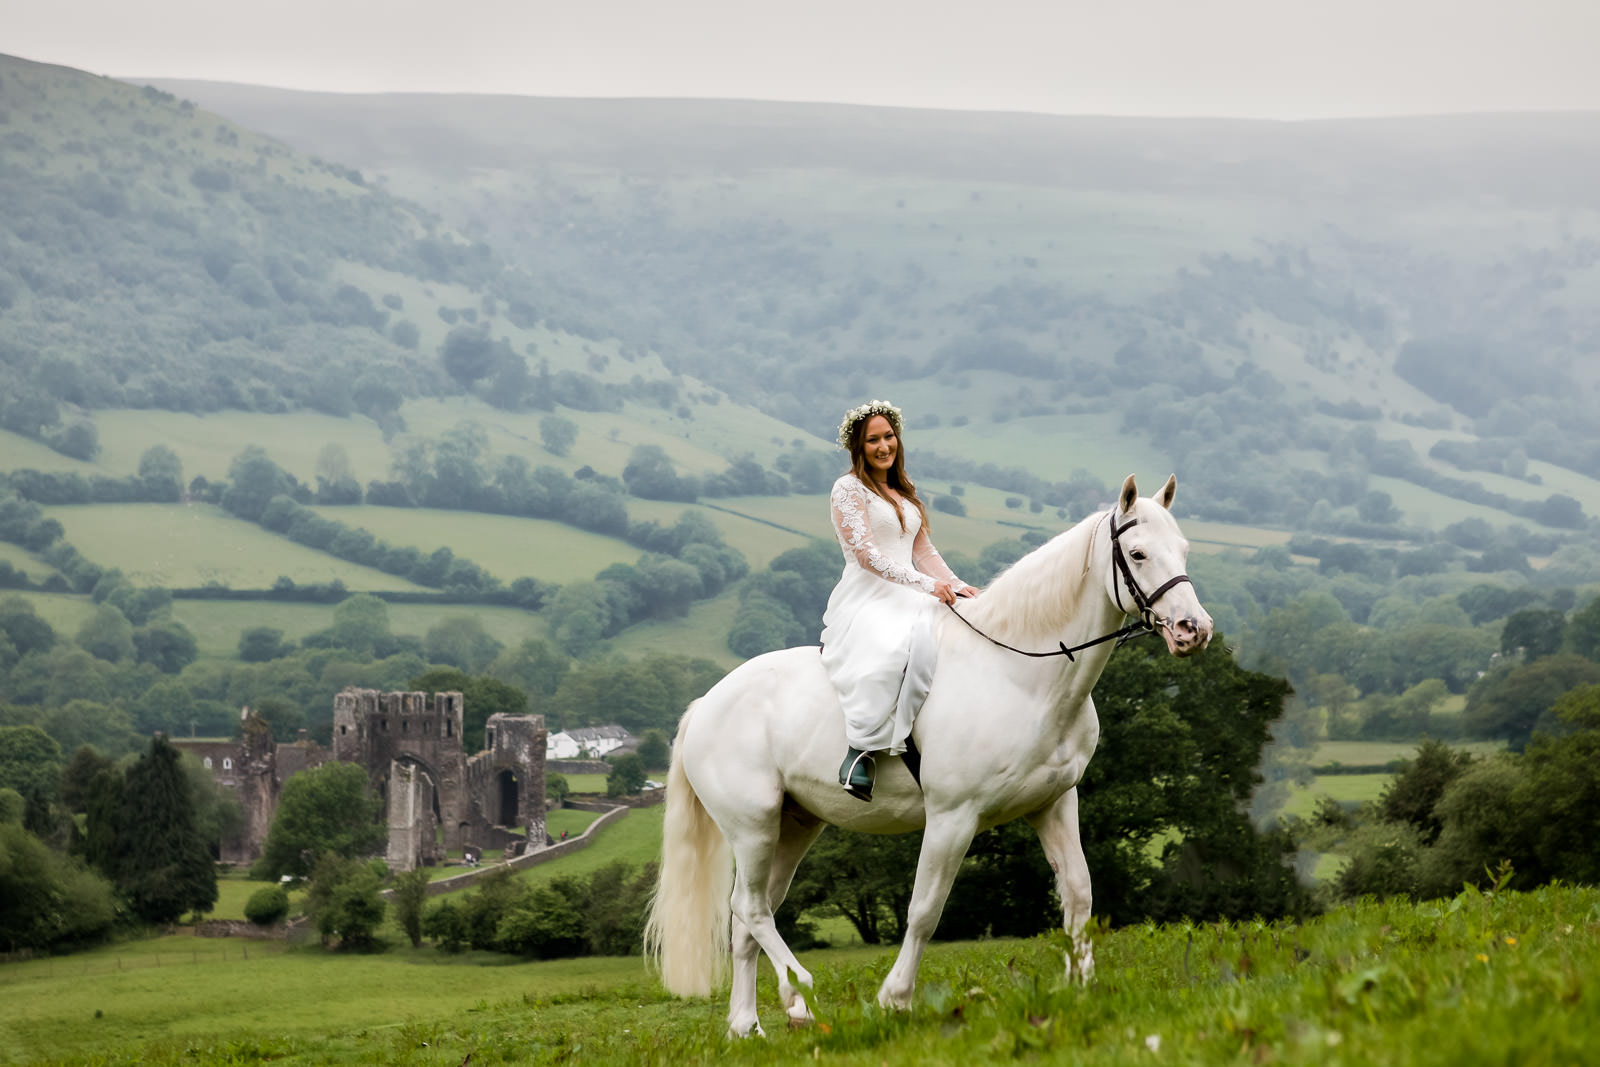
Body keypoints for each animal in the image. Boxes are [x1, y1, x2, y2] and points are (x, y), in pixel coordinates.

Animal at [643, 476, 1203, 1036]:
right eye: (1137, 553)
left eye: (1183, 549)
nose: (1193, 630)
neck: (1019, 674)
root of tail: (704, 704)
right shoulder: (953, 816)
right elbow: (925, 910)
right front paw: (895, 998)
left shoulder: (1055, 803)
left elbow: (1079, 892)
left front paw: (1082, 986)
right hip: (753, 825)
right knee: (750, 908)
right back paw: (800, 992)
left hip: (794, 825)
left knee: (751, 914)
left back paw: (750, 1025)